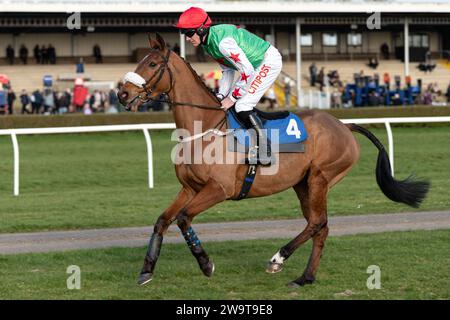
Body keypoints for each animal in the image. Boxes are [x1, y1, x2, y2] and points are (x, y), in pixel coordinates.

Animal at [117, 34, 428, 288]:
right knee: (321, 226)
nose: (122, 94)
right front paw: (146, 270)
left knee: (317, 223)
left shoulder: (219, 189)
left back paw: (278, 258)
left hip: (320, 178)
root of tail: (344, 125)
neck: (204, 127)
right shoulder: (190, 188)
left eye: (152, 64)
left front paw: (206, 264)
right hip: (303, 184)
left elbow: (183, 219)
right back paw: (305, 277)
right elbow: (162, 221)